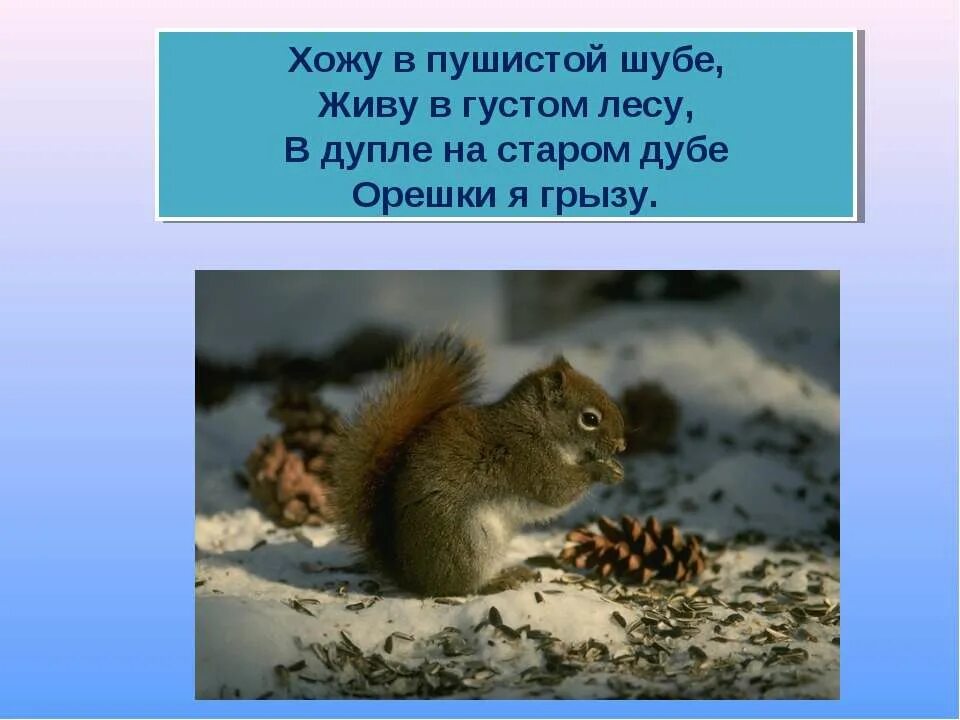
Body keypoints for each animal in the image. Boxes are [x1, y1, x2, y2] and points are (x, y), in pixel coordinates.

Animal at [330, 334, 626, 597]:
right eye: (589, 419)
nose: (621, 445)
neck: (537, 426)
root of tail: (409, 575)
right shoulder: (528, 459)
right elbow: (558, 491)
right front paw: (602, 470)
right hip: (468, 542)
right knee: (459, 587)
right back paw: (496, 582)